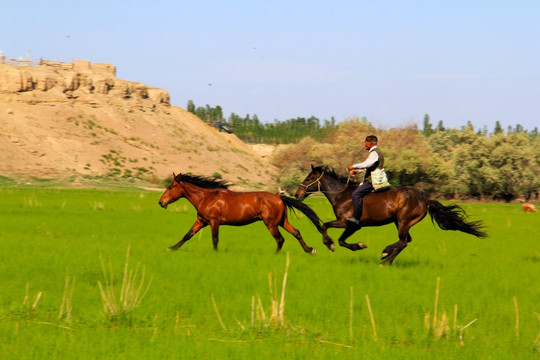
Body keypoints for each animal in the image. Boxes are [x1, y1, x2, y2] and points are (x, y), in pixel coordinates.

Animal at [159, 172, 330, 253]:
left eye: (170, 187)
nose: (161, 202)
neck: (206, 197)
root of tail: (279, 196)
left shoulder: (214, 222)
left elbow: (215, 239)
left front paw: (215, 254)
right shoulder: (202, 221)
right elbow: (187, 235)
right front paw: (171, 248)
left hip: (271, 224)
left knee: (280, 239)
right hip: (282, 221)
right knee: (296, 232)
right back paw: (310, 250)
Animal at [294, 166, 488, 264]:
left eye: (309, 178)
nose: (297, 194)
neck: (341, 195)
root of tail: (425, 199)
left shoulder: (346, 222)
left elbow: (325, 226)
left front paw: (329, 244)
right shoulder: (353, 226)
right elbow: (342, 240)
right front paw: (359, 245)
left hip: (403, 221)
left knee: (403, 242)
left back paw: (385, 258)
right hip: (400, 222)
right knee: (406, 241)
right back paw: (386, 255)